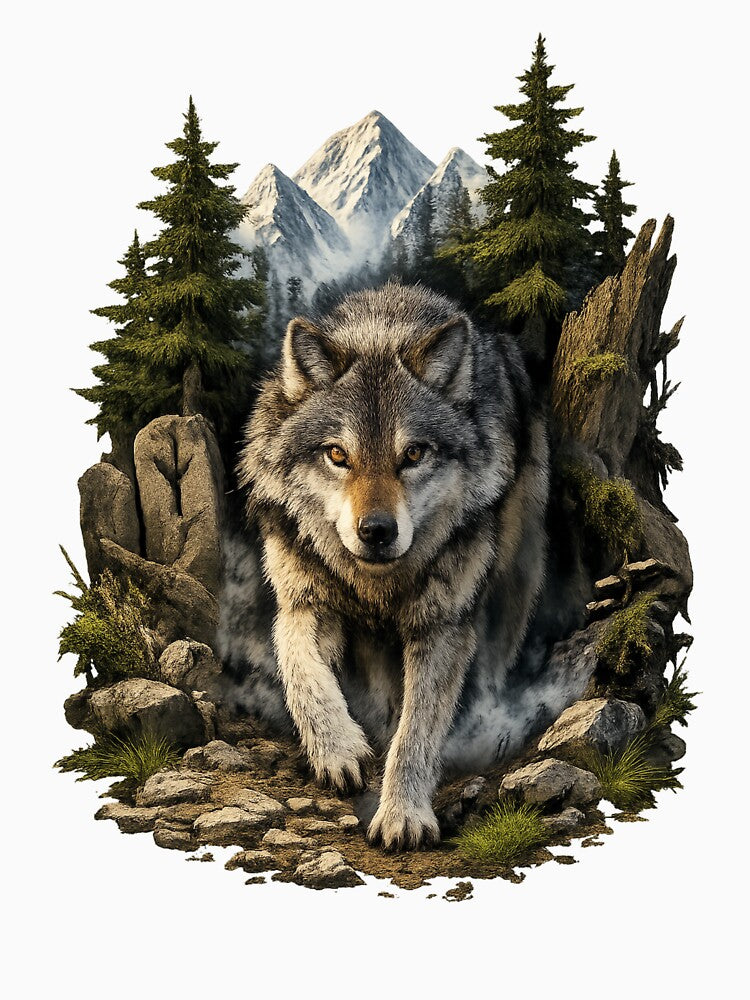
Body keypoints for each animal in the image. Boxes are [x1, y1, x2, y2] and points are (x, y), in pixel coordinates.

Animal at [226, 282, 549, 850]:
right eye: (337, 455)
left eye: (414, 454)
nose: (376, 531)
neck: (374, 586)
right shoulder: (303, 605)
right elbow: (300, 672)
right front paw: (339, 750)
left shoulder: (442, 628)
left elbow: (416, 731)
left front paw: (403, 814)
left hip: (513, 581)